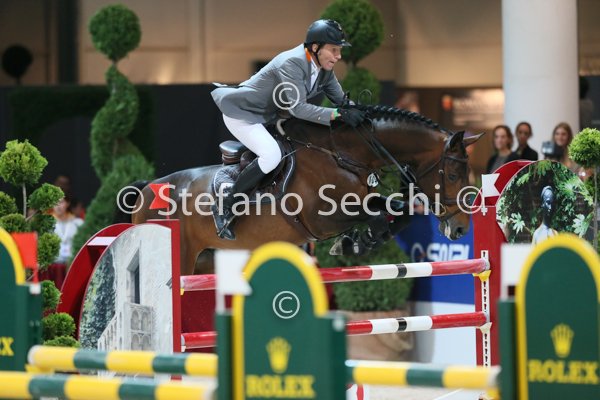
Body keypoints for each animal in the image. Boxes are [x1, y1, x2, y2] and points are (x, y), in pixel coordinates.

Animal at [129, 105, 481, 275]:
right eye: (452, 174)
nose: (460, 229)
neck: (344, 154)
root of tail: (147, 190)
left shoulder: (362, 199)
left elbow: (399, 211)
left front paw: (360, 242)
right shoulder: (321, 219)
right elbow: (378, 215)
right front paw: (356, 241)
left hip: (206, 259)